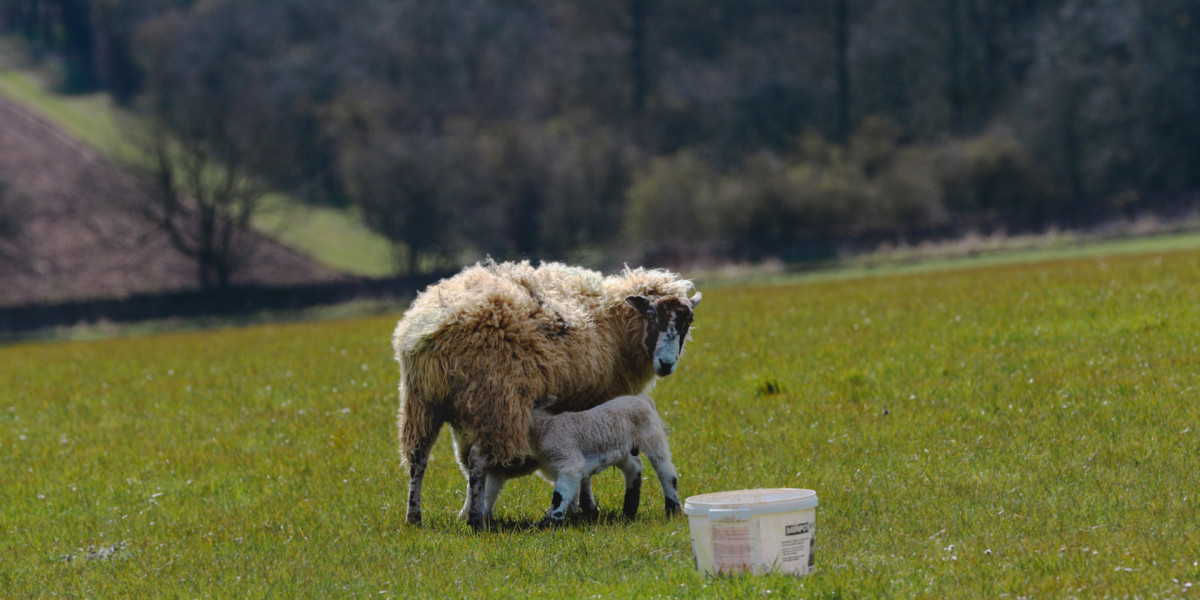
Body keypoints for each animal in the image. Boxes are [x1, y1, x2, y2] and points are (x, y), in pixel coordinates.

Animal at [480, 393, 686, 525]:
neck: (545, 429)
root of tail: (642, 399)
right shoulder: (563, 470)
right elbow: (570, 494)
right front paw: (570, 518)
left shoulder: (569, 463)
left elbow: (560, 495)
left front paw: (549, 523)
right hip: (620, 448)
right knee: (634, 466)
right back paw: (629, 510)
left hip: (652, 436)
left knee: (666, 470)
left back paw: (672, 509)